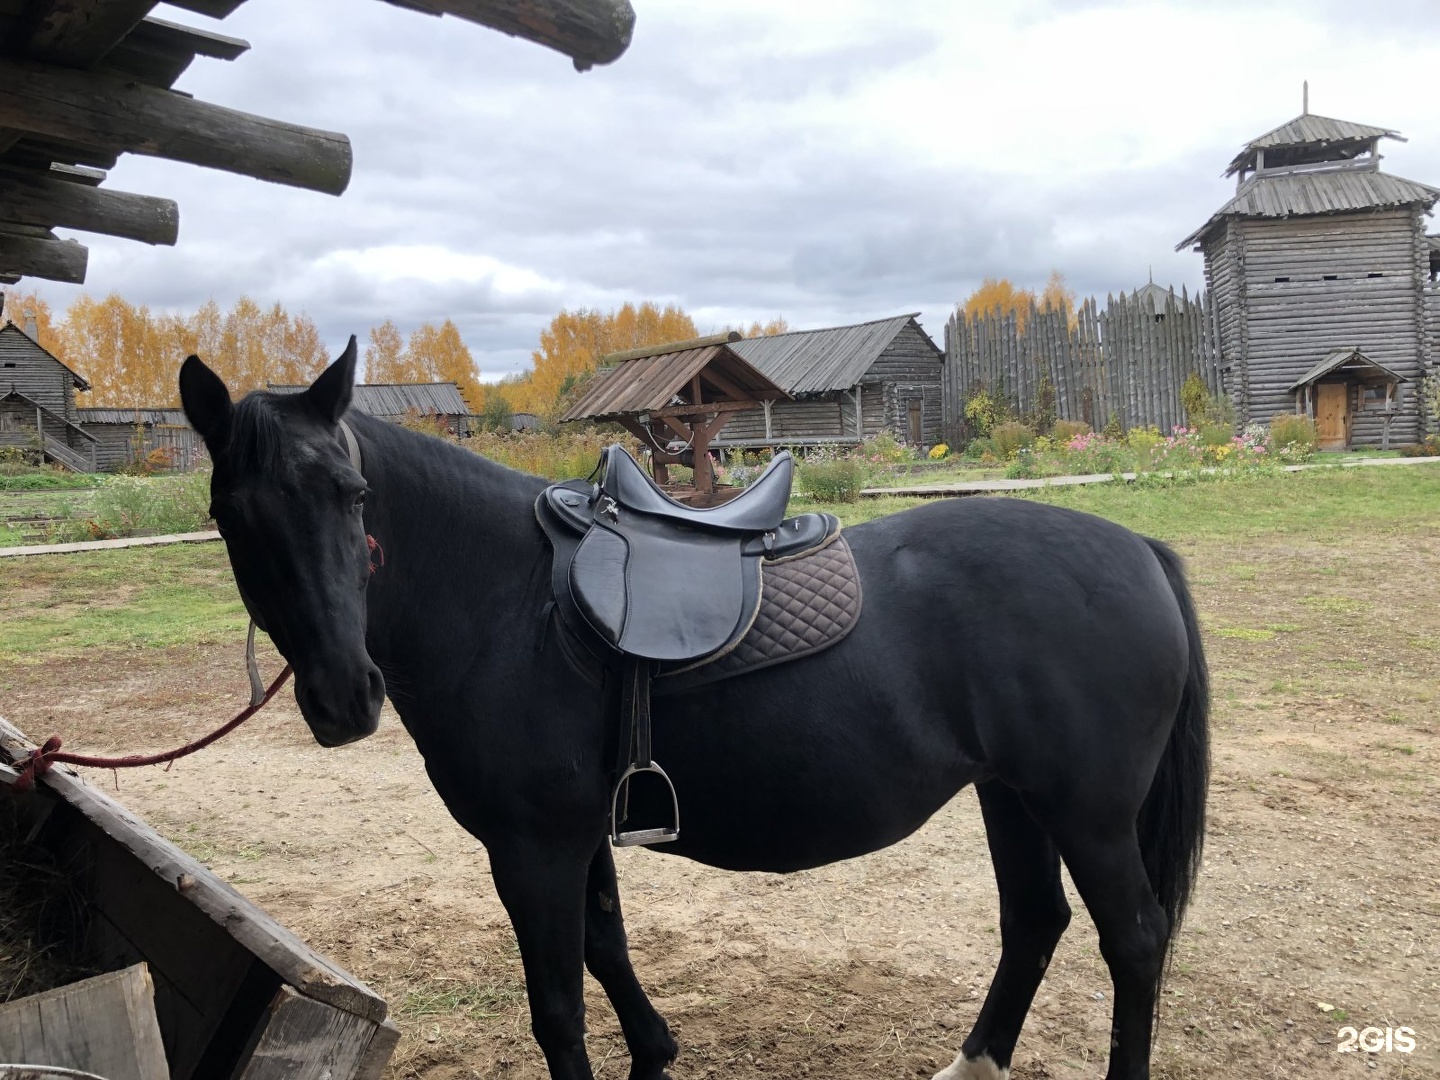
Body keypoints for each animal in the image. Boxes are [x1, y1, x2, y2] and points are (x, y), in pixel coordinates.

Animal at [185, 344, 1209, 1080]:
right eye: (231, 515)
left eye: (353, 495)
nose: (343, 697)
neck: (508, 601)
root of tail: (1141, 551)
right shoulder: (573, 836)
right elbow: (606, 945)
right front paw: (656, 1056)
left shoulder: (529, 848)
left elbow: (557, 1007)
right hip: (1013, 797)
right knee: (1035, 922)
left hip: (1088, 813)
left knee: (1133, 940)